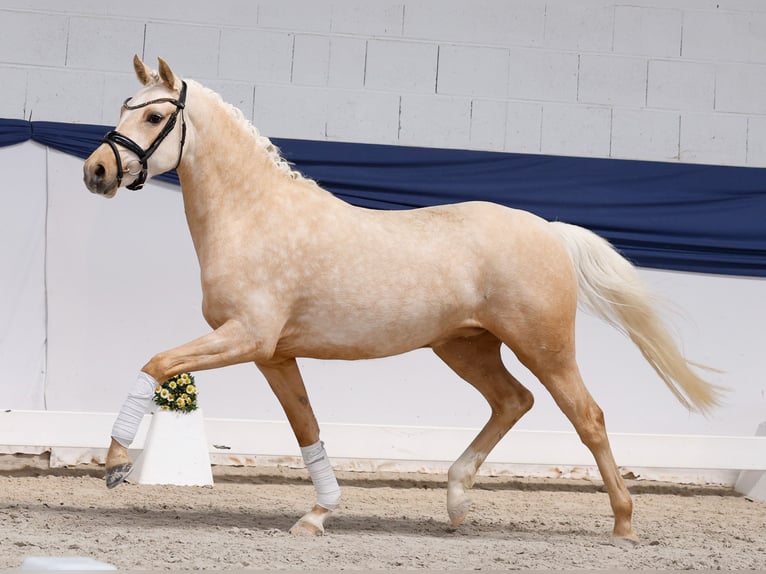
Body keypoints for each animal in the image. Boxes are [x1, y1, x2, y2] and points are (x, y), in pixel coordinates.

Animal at [83, 56, 721, 542]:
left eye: (156, 114)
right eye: (124, 105)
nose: (96, 171)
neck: (256, 216)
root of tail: (548, 230)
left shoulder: (245, 338)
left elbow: (156, 364)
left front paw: (116, 465)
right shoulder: (275, 355)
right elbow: (307, 428)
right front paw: (317, 516)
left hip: (544, 347)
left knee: (587, 417)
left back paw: (624, 525)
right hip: (465, 348)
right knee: (513, 401)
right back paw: (458, 503)